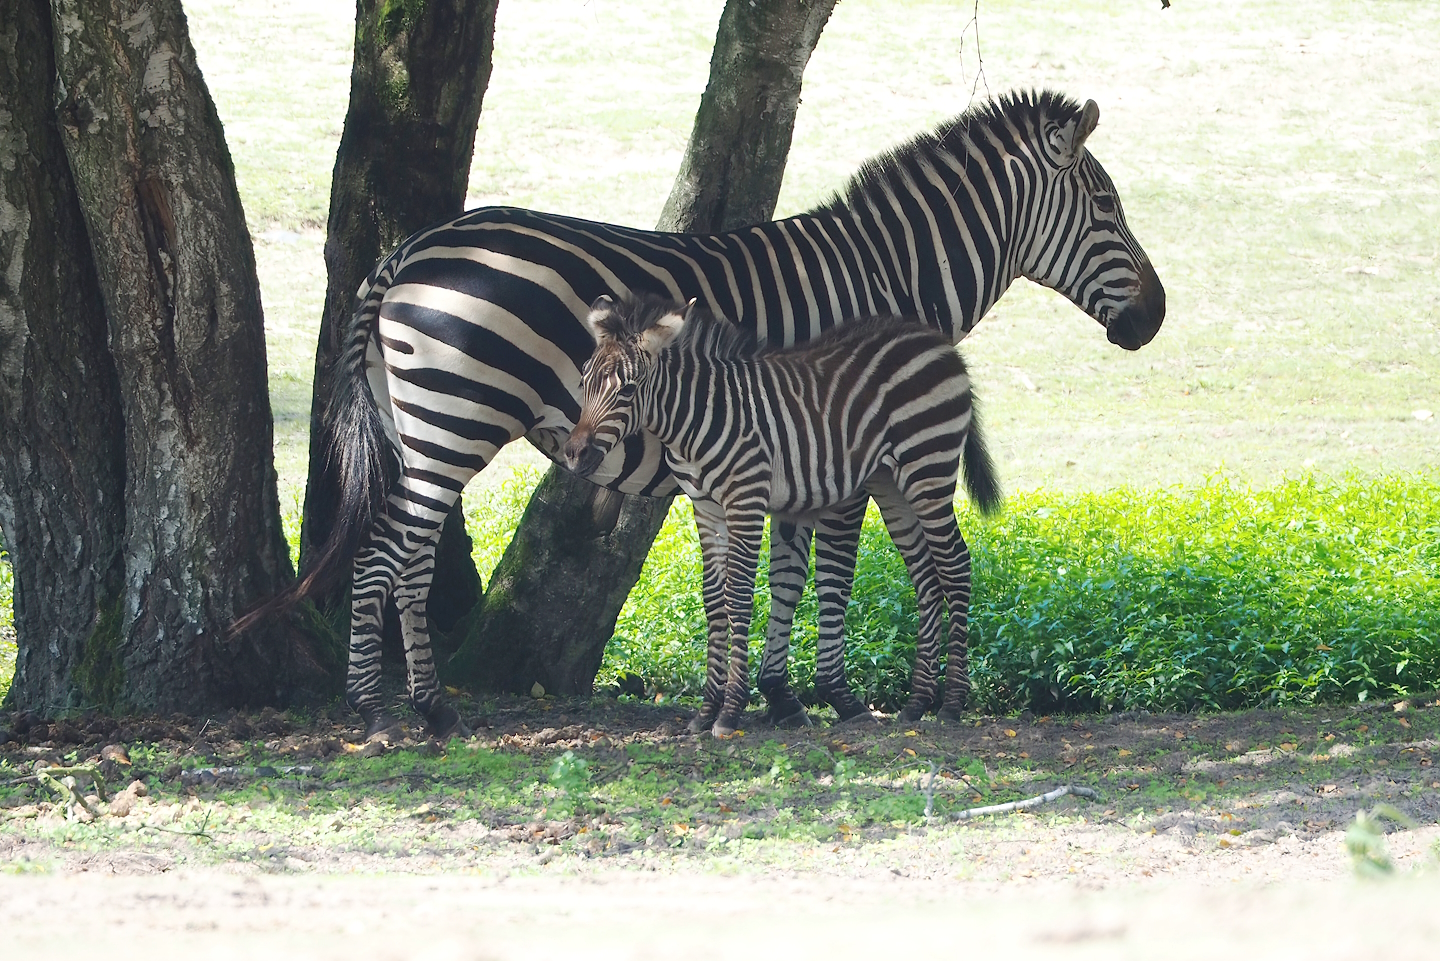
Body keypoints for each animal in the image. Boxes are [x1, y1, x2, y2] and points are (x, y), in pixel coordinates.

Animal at [564, 293, 1001, 735]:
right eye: (583, 382)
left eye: (628, 390)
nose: (575, 454)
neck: (695, 419)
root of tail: (935, 341)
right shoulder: (705, 506)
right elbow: (713, 599)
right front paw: (705, 712)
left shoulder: (746, 498)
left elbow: (738, 594)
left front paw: (729, 712)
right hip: (891, 484)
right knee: (927, 577)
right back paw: (916, 704)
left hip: (928, 467)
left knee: (955, 565)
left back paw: (952, 704)